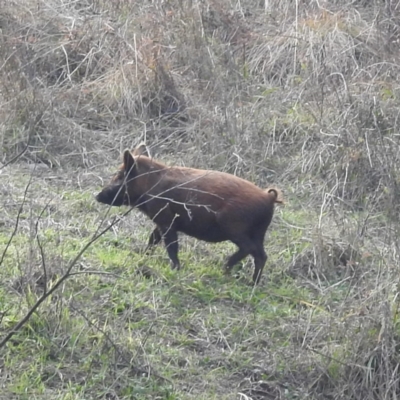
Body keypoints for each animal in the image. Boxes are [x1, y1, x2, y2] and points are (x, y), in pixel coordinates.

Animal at [95, 144, 282, 284]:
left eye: (120, 175)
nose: (97, 195)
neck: (149, 186)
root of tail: (269, 197)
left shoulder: (166, 219)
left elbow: (171, 245)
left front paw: (175, 269)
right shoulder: (160, 221)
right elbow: (152, 239)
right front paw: (143, 256)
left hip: (235, 228)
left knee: (250, 250)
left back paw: (227, 270)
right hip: (259, 233)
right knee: (262, 255)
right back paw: (252, 282)